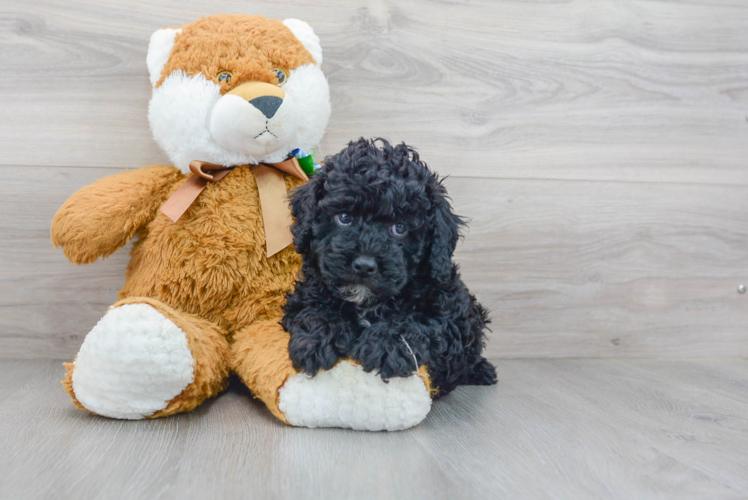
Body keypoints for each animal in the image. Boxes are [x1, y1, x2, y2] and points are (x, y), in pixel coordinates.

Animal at [282, 139, 496, 396]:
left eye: (400, 228)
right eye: (344, 217)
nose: (364, 266)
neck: (368, 302)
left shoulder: (453, 316)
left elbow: (423, 321)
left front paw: (386, 344)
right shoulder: (304, 295)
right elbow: (315, 309)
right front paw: (316, 338)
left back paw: (482, 370)